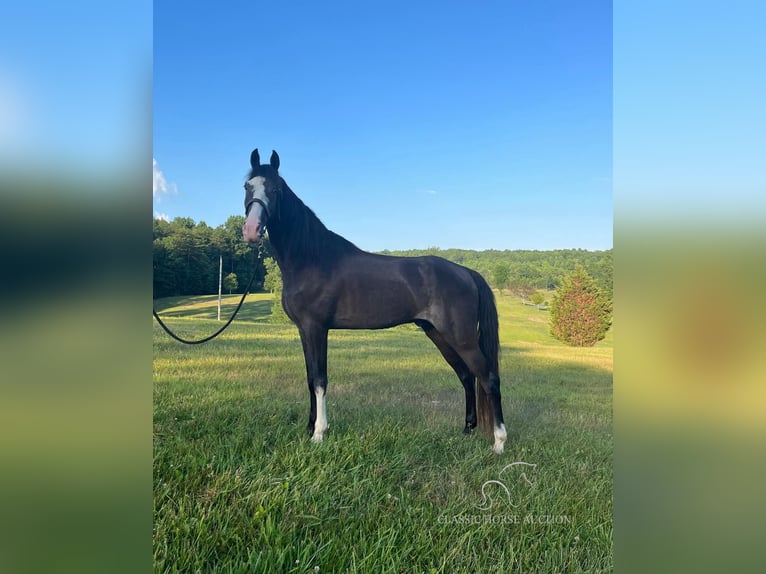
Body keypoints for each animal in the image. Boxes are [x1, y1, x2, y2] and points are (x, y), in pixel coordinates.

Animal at [242, 151, 510, 456]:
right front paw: (309, 428)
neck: (311, 259)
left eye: (276, 189)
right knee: (466, 376)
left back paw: (499, 443)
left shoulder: (316, 328)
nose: (251, 230)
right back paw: (467, 430)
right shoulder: (304, 330)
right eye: (247, 187)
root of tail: (467, 272)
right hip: (438, 334)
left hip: (461, 337)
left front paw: (319, 434)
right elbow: (311, 379)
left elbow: (320, 380)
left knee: (488, 378)